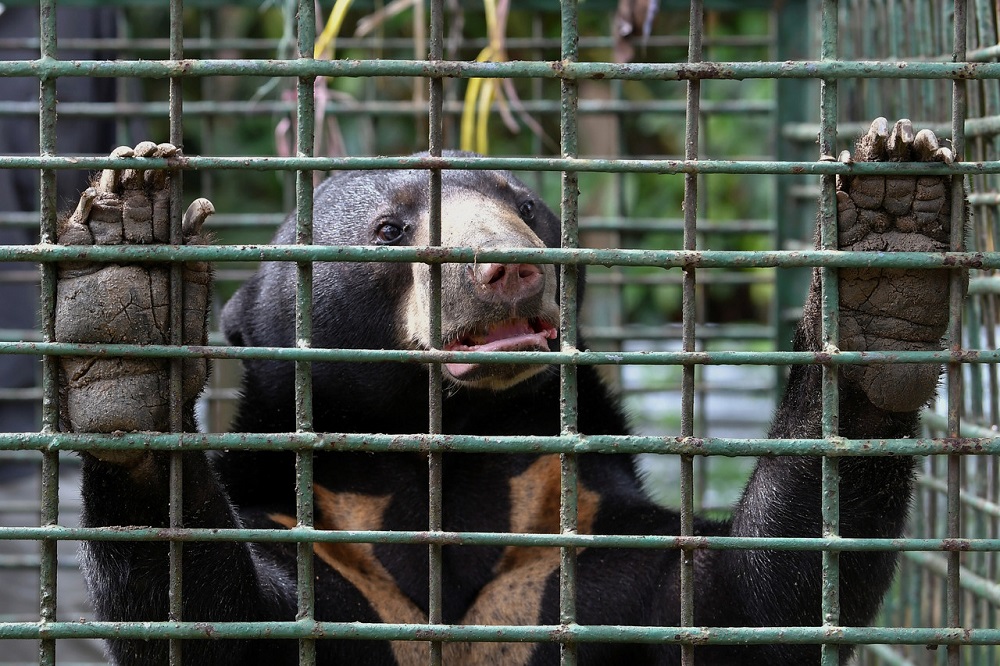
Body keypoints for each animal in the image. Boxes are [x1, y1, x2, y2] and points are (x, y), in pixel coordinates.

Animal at [55, 117, 961, 665]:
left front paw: (885, 253)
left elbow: (751, 605)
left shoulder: (587, 543)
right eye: (391, 230)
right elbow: (209, 619)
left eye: (527, 205)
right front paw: (124, 300)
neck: (454, 473)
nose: (509, 268)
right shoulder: (314, 549)